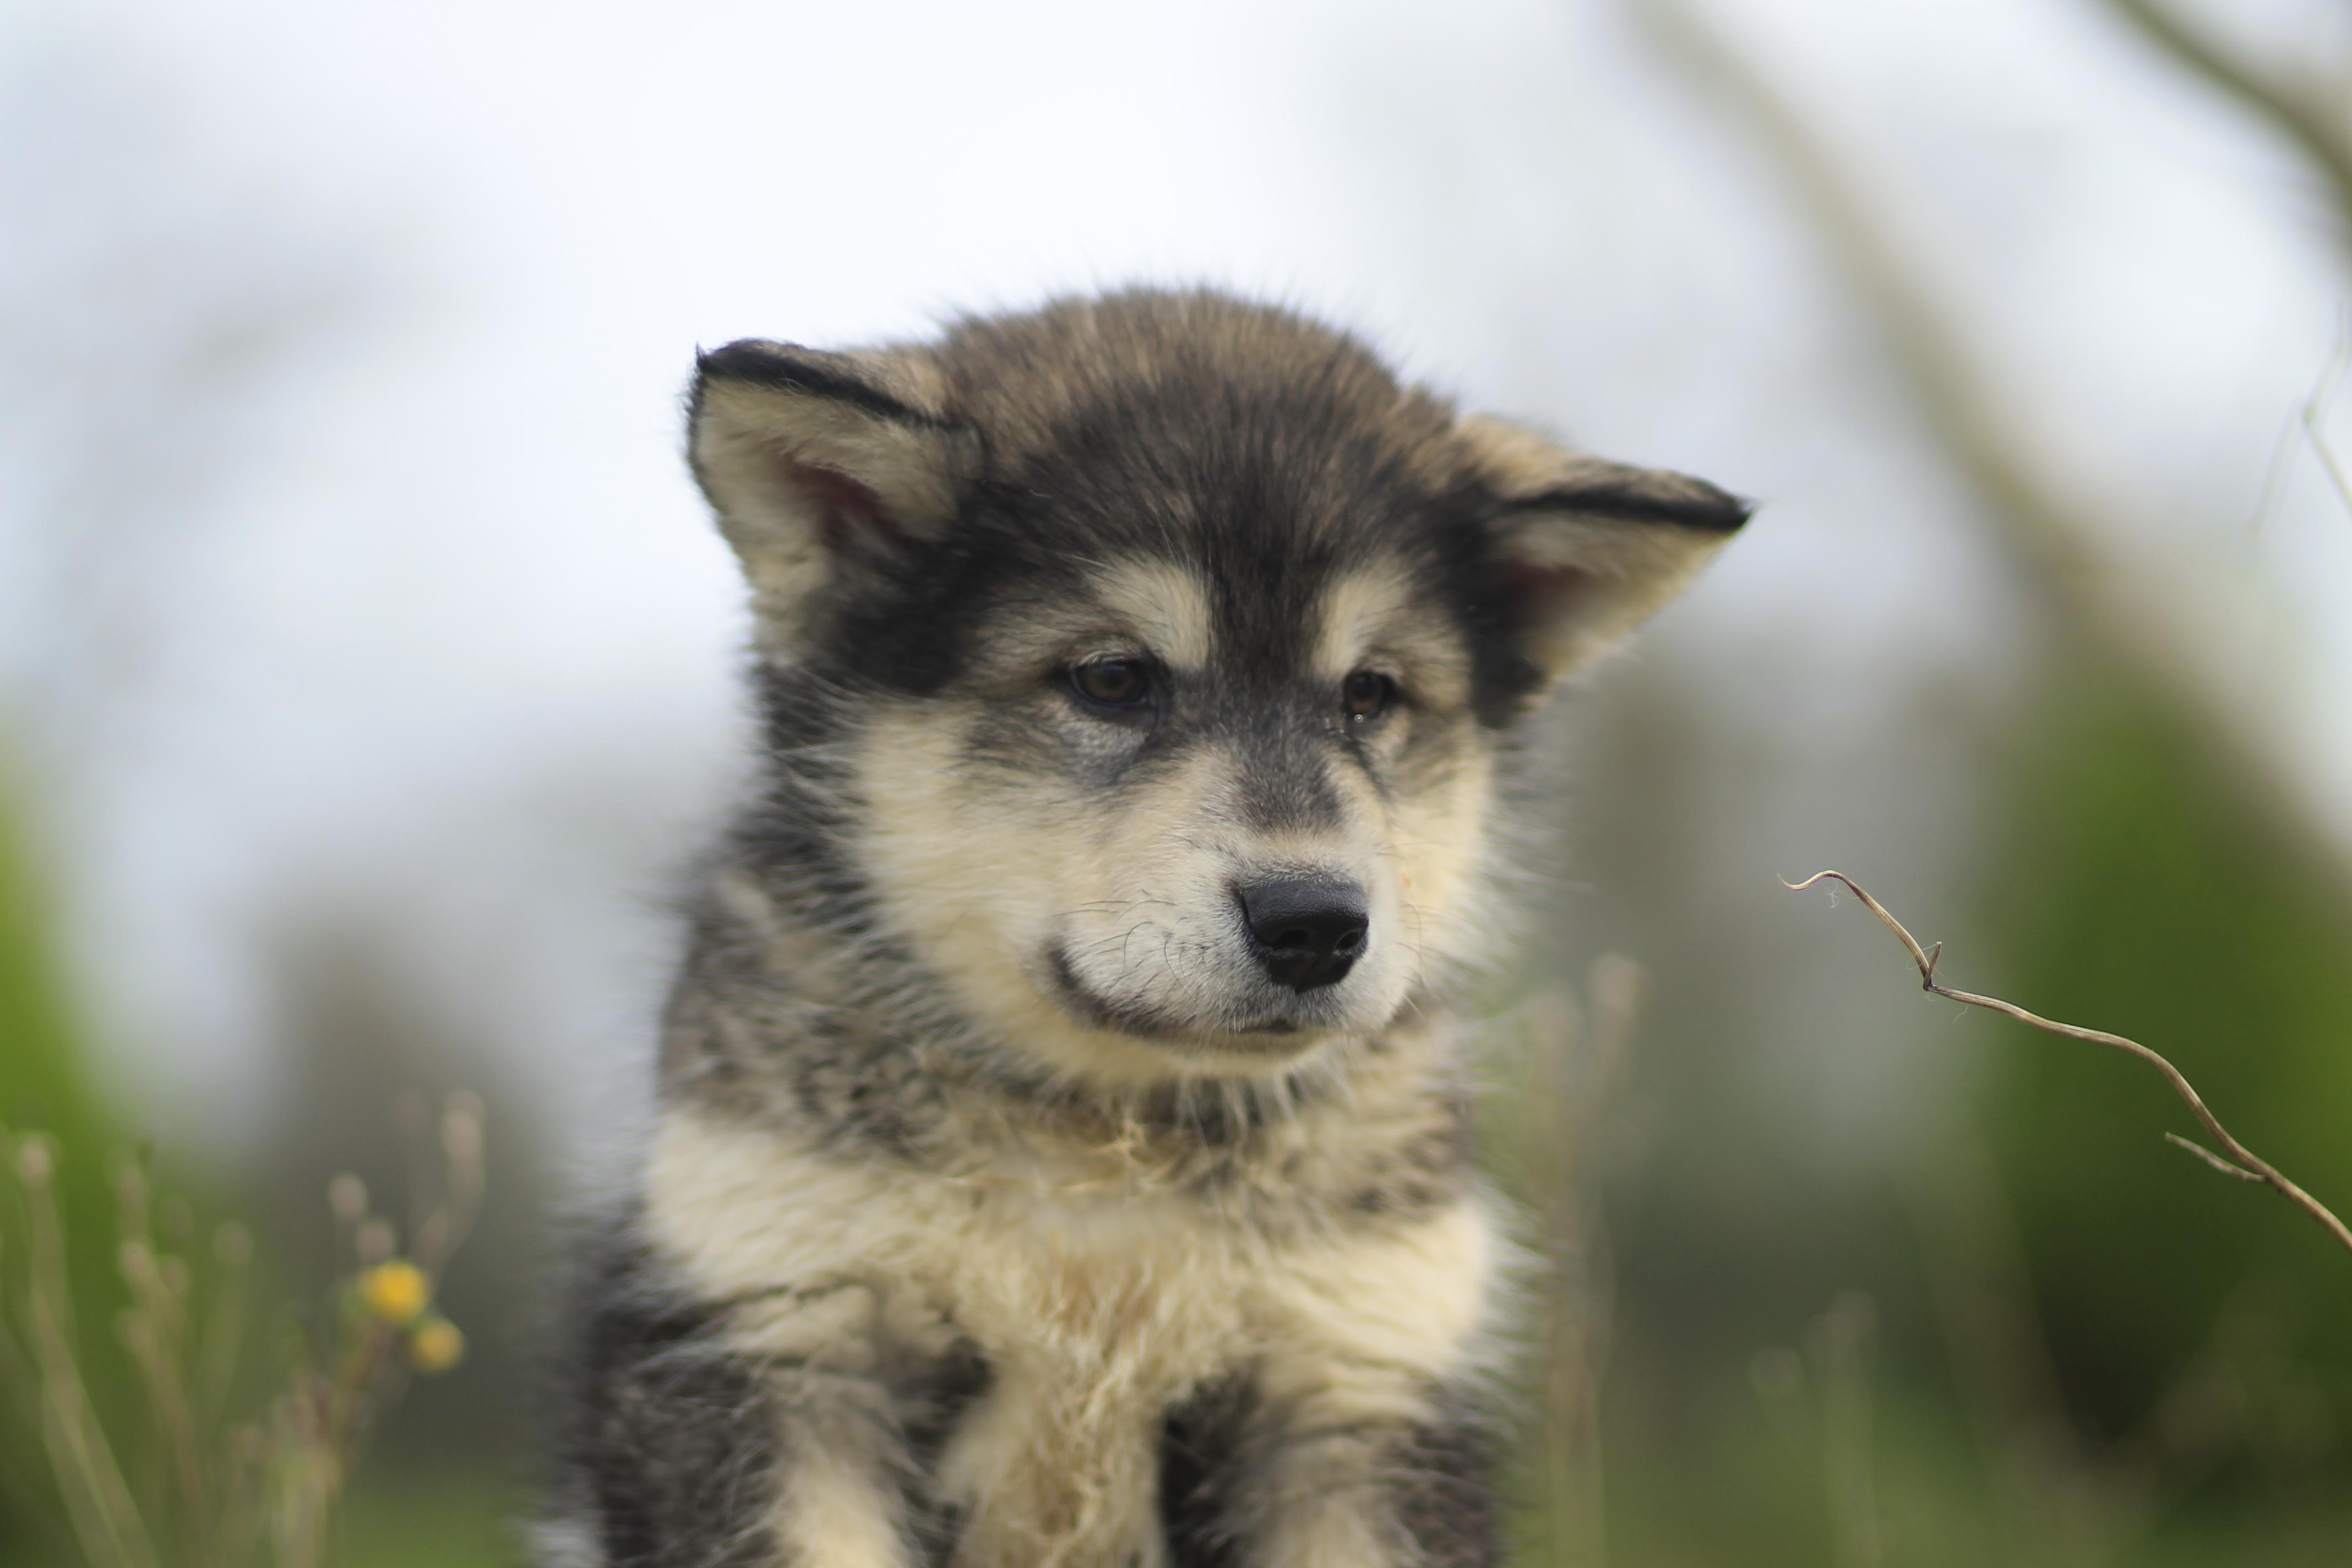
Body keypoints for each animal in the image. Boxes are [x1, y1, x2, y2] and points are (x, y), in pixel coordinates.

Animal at [538, 288, 1750, 1561]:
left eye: (1369, 693)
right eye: (1113, 677)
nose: (1316, 923)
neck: (1111, 1138)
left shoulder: (1356, 1369)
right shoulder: (775, 1321)